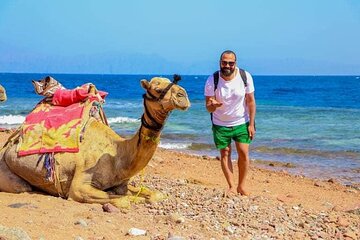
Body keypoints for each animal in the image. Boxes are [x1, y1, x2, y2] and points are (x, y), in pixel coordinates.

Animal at [0, 76, 191, 207]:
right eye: (157, 89)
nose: (183, 95)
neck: (119, 156)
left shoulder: (122, 184)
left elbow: (155, 195)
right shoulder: (79, 187)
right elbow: (123, 200)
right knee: (22, 187)